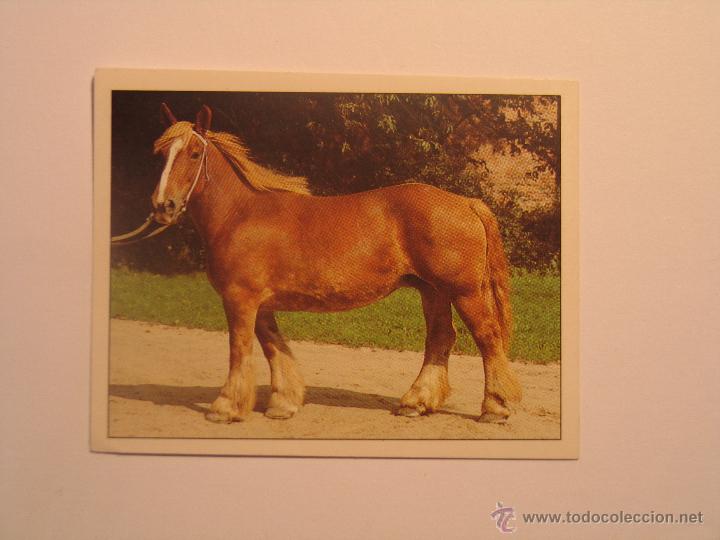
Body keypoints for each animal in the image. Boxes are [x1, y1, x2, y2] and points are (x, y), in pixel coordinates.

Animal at [136, 102, 522, 424]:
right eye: (161, 154)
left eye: (194, 152)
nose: (163, 206)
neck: (240, 214)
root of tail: (467, 202)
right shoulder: (260, 303)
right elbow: (273, 346)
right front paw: (283, 402)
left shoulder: (240, 299)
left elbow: (240, 349)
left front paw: (226, 407)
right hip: (433, 291)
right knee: (440, 338)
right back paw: (416, 402)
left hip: (463, 291)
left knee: (487, 337)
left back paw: (495, 407)